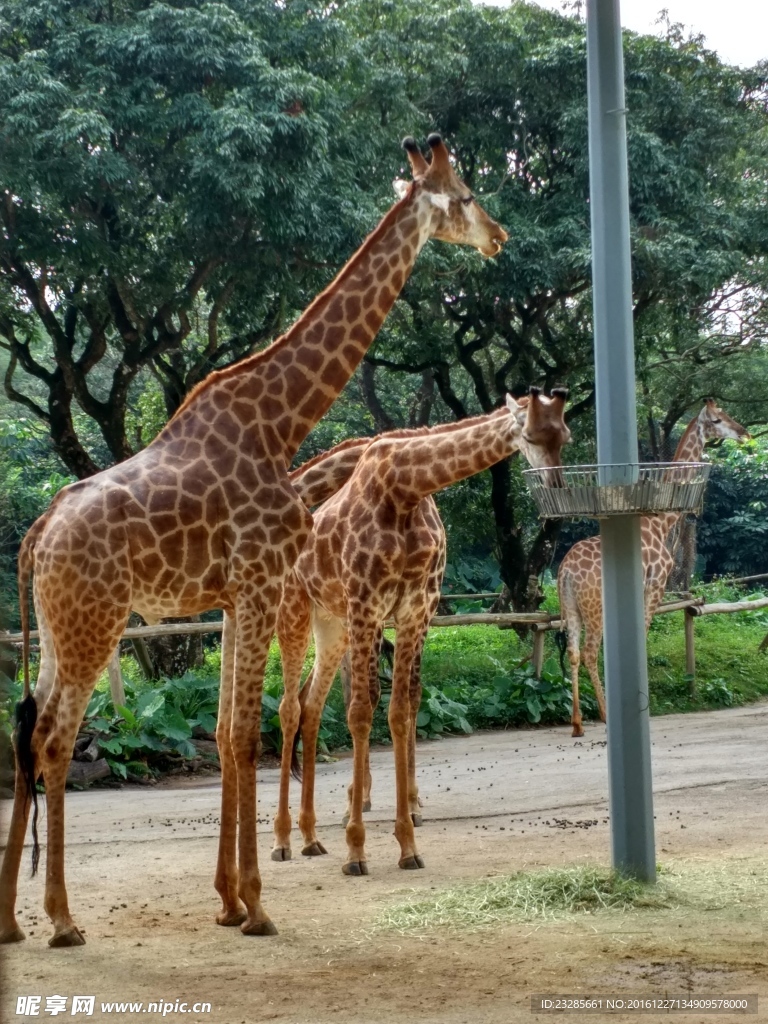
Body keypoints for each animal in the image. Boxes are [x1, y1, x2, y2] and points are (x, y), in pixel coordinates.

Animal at [1, 134, 512, 942]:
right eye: (464, 195)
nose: (499, 237)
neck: (282, 425)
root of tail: (37, 534)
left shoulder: (238, 596)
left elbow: (225, 733)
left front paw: (229, 899)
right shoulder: (262, 582)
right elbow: (247, 733)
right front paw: (258, 905)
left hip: (58, 628)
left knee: (24, 734)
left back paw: (13, 922)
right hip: (95, 625)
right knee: (53, 738)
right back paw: (61, 920)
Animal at [270, 391, 573, 872]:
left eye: (565, 435)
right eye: (528, 434)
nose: (556, 487)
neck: (405, 490)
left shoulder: (415, 609)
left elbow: (400, 709)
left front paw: (407, 842)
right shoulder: (368, 606)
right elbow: (361, 711)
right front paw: (356, 848)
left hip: (332, 625)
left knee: (311, 706)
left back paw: (310, 836)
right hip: (295, 611)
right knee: (288, 708)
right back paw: (281, 840)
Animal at [561, 397, 753, 737]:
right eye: (717, 420)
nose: (743, 432)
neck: (662, 522)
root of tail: (566, 572)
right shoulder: (655, 586)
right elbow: (644, 637)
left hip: (570, 606)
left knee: (573, 653)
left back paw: (577, 724)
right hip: (594, 606)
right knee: (589, 652)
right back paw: (604, 715)